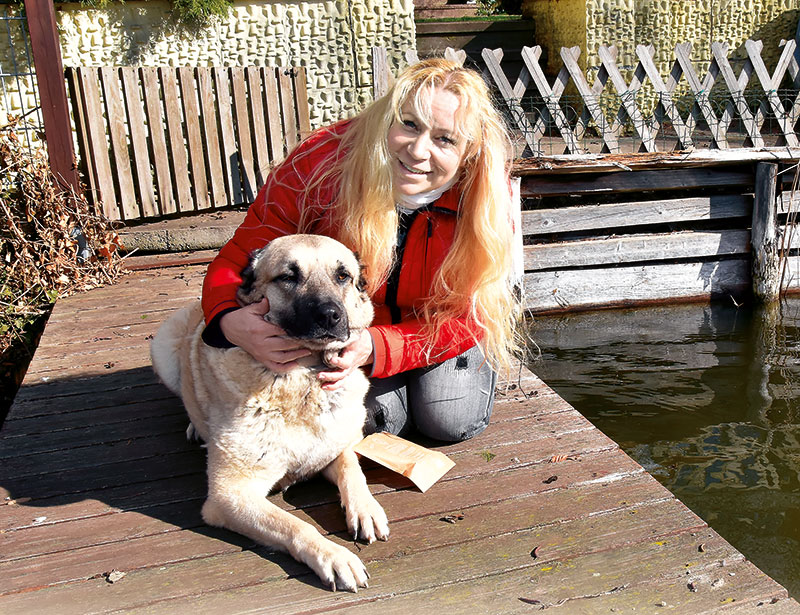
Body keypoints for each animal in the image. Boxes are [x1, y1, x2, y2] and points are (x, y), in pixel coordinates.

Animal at [152, 235, 390, 592]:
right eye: (288, 277)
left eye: (342, 276)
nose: (330, 315)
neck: (304, 378)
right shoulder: (229, 495)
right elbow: (295, 524)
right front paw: (335, 557)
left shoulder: (337, 447)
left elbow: (352, 470)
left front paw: (366, 509)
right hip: (163, 347)